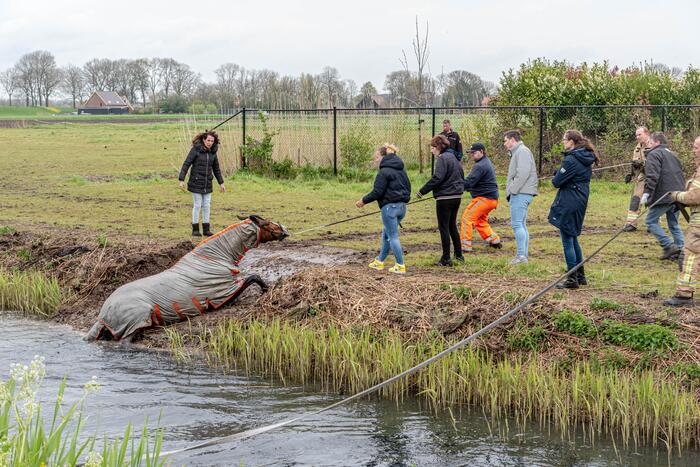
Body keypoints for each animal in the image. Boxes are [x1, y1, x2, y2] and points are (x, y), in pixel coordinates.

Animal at [86, 215, 288, 342]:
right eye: (268, 223)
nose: (286, 232)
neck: (216, 256)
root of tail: (102, 316)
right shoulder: (224, 293)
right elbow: (254, 277)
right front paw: (266, 290)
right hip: (138, 318)